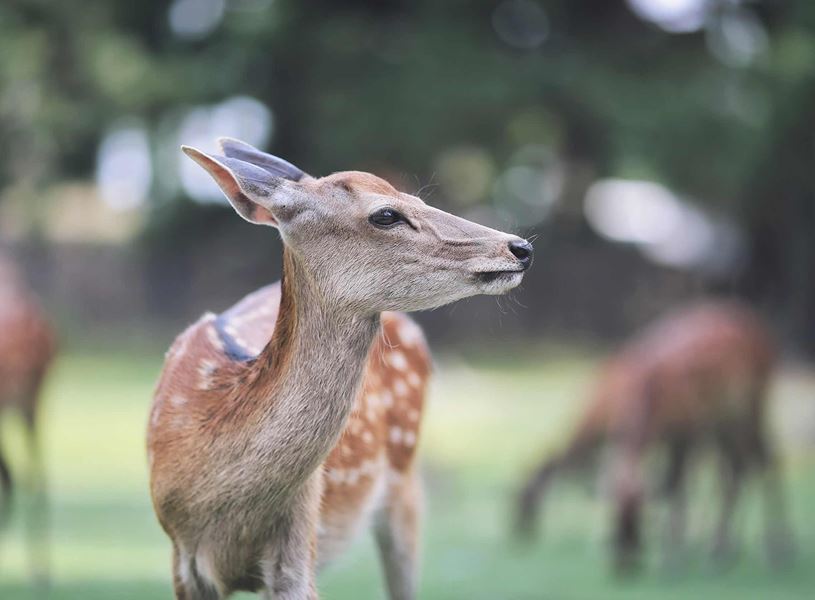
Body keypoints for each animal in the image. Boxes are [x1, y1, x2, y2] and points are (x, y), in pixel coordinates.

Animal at [146, 138, 533, 600]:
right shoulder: (182, 559)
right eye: (386, 214)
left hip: (405, 482)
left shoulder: (299, 536)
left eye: (420, 199)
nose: (520, 247)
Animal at [514, 301, 793, 572]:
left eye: (525, 500)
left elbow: (674, 487)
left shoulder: (687, 428)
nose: (625, 567)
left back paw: (774, 550)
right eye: (616, 525)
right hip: (725, 419)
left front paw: (672, 561)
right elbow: (652, 482)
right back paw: (724, 549)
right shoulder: (653, 434)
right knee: (738, 466)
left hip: (752, 400)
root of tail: (768, 336)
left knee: (762, 458)